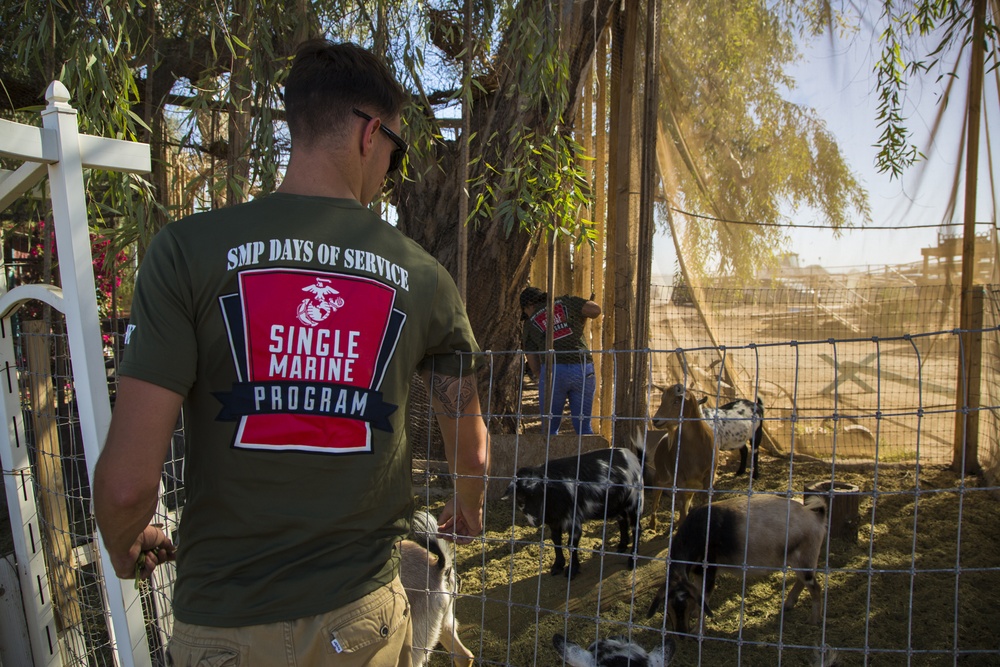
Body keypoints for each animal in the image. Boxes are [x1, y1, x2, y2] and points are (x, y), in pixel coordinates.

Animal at [648, 384, 720, 528]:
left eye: (676, 401)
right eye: (662, 399)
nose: (656, 420)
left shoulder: (709, 476)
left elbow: (704, 501)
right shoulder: (680, 476)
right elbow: (681, 505)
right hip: (661, 474)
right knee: (656, 497)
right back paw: (653, 525)